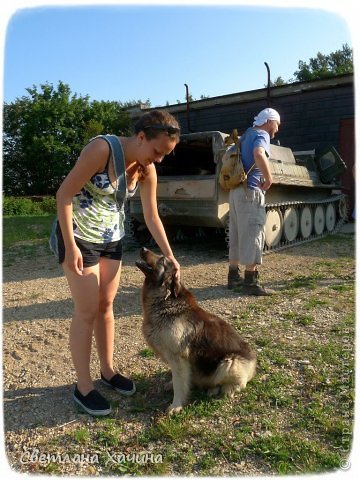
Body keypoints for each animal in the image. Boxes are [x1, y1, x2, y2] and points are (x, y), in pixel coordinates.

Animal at [135, 248, 256, 412]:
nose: (143, 249)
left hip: (230, 362)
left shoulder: (178, 358)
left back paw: (226, 388)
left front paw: (176, 405)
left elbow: (179, 384)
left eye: (162, 259)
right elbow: (179, 379)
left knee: (239, 383)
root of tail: (253, 362)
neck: (166, 301)